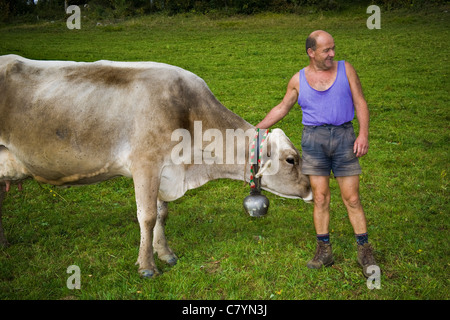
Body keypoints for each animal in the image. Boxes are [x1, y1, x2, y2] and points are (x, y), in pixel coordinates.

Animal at [0, 53, 312, 276]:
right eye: (291, 159)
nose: (310, 188)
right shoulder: (145, 164)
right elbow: (147, 217)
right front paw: (147, 266)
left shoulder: (165, 169)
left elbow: (162, 214)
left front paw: (166, 254)